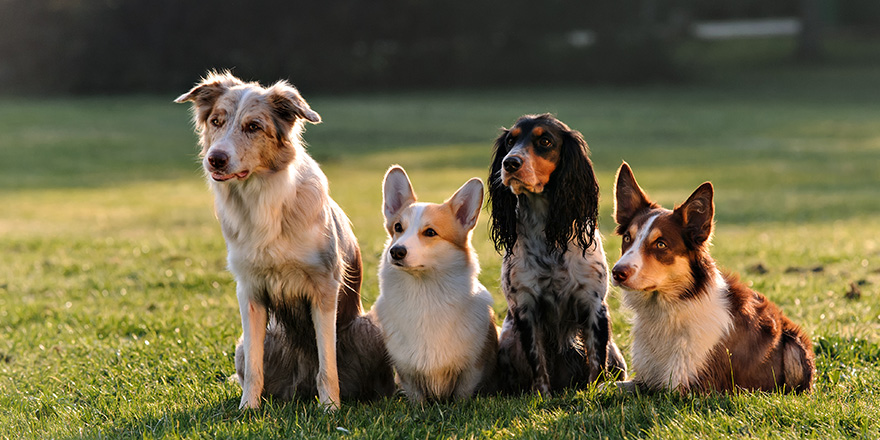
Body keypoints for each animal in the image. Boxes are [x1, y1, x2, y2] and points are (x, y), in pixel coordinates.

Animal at [175, 72, 392, 410]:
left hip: (368, 327)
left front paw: (330, 409)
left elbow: (327, 363)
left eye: (253, 126)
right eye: (216, 121)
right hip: (252, 343)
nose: (215, 160)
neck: (261, 199)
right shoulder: (249, 291)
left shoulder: (324, 287)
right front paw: (247, 410)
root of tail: (300, 387)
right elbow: (255, 367)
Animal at [372, 166, 502, 402]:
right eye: (398, 227)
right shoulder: (407, 372)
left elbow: (462, 395)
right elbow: (417, 397)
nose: (396, 251)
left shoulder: (472, 369)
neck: (424, 293)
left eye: (430, 232)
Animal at [488, 114, 624, 396]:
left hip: (617, 355)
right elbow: (537, 361)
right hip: (507, 341)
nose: (510, 163)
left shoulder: (594, 305)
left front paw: (594, 392)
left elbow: (596, 360)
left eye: (545, 141)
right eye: (510, 141)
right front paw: (543, 396)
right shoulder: (525, 308)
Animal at [608, 162, 816, 396]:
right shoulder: (646, 378)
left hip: (795, 347)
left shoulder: (689, 388)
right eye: (627, 238)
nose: (617, 272)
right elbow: (606, 385)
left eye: (661, 244)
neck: (668, 309)